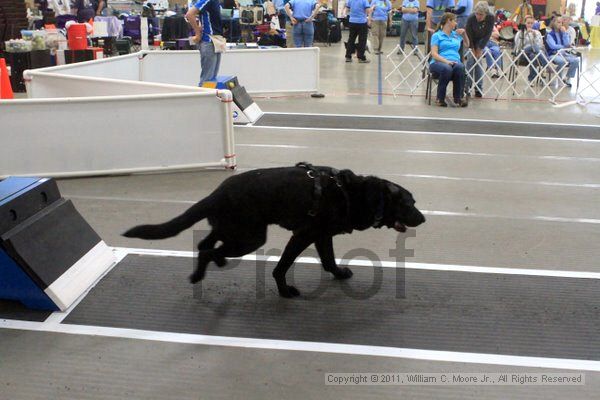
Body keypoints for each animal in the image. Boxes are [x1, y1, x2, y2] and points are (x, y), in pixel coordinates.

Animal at [122, 162, 424, 296]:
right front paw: (284, 289)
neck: (354, 194)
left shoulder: (322, 236)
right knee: (210, 250)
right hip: (250, 237)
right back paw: (210, 267)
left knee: (204, 245)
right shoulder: (304, 235)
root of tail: (216, 193)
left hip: (232, 229)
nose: (422, 219)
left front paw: (338, 274)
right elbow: (283, 265)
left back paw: (202, 272)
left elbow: (328, 260)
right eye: (410, 204)